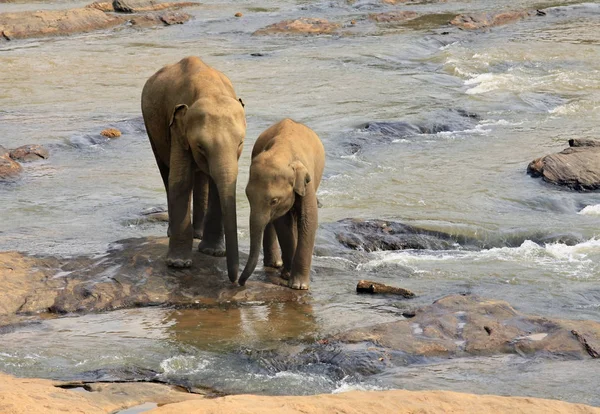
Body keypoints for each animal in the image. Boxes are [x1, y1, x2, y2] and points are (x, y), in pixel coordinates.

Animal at [141, 55, 244, 282]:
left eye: (241, 143)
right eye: (200, 147)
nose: (236, 281)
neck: (210, 89)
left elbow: (216, 182)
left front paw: (213, 252)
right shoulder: (177, 127)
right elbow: (180, 179)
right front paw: (178, 264)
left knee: (202, 177)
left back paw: (198, 234)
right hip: (151, 129)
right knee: (166, 172)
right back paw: (174, 232)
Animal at [238, 118, 324, 290]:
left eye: (274, 201)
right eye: (247, 196)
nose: (240, 283)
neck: (281, 151)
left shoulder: (307, 183)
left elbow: (309, 220)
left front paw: (298, 286)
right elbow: (283, 223)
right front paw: (288, 276)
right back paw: (275, 265)